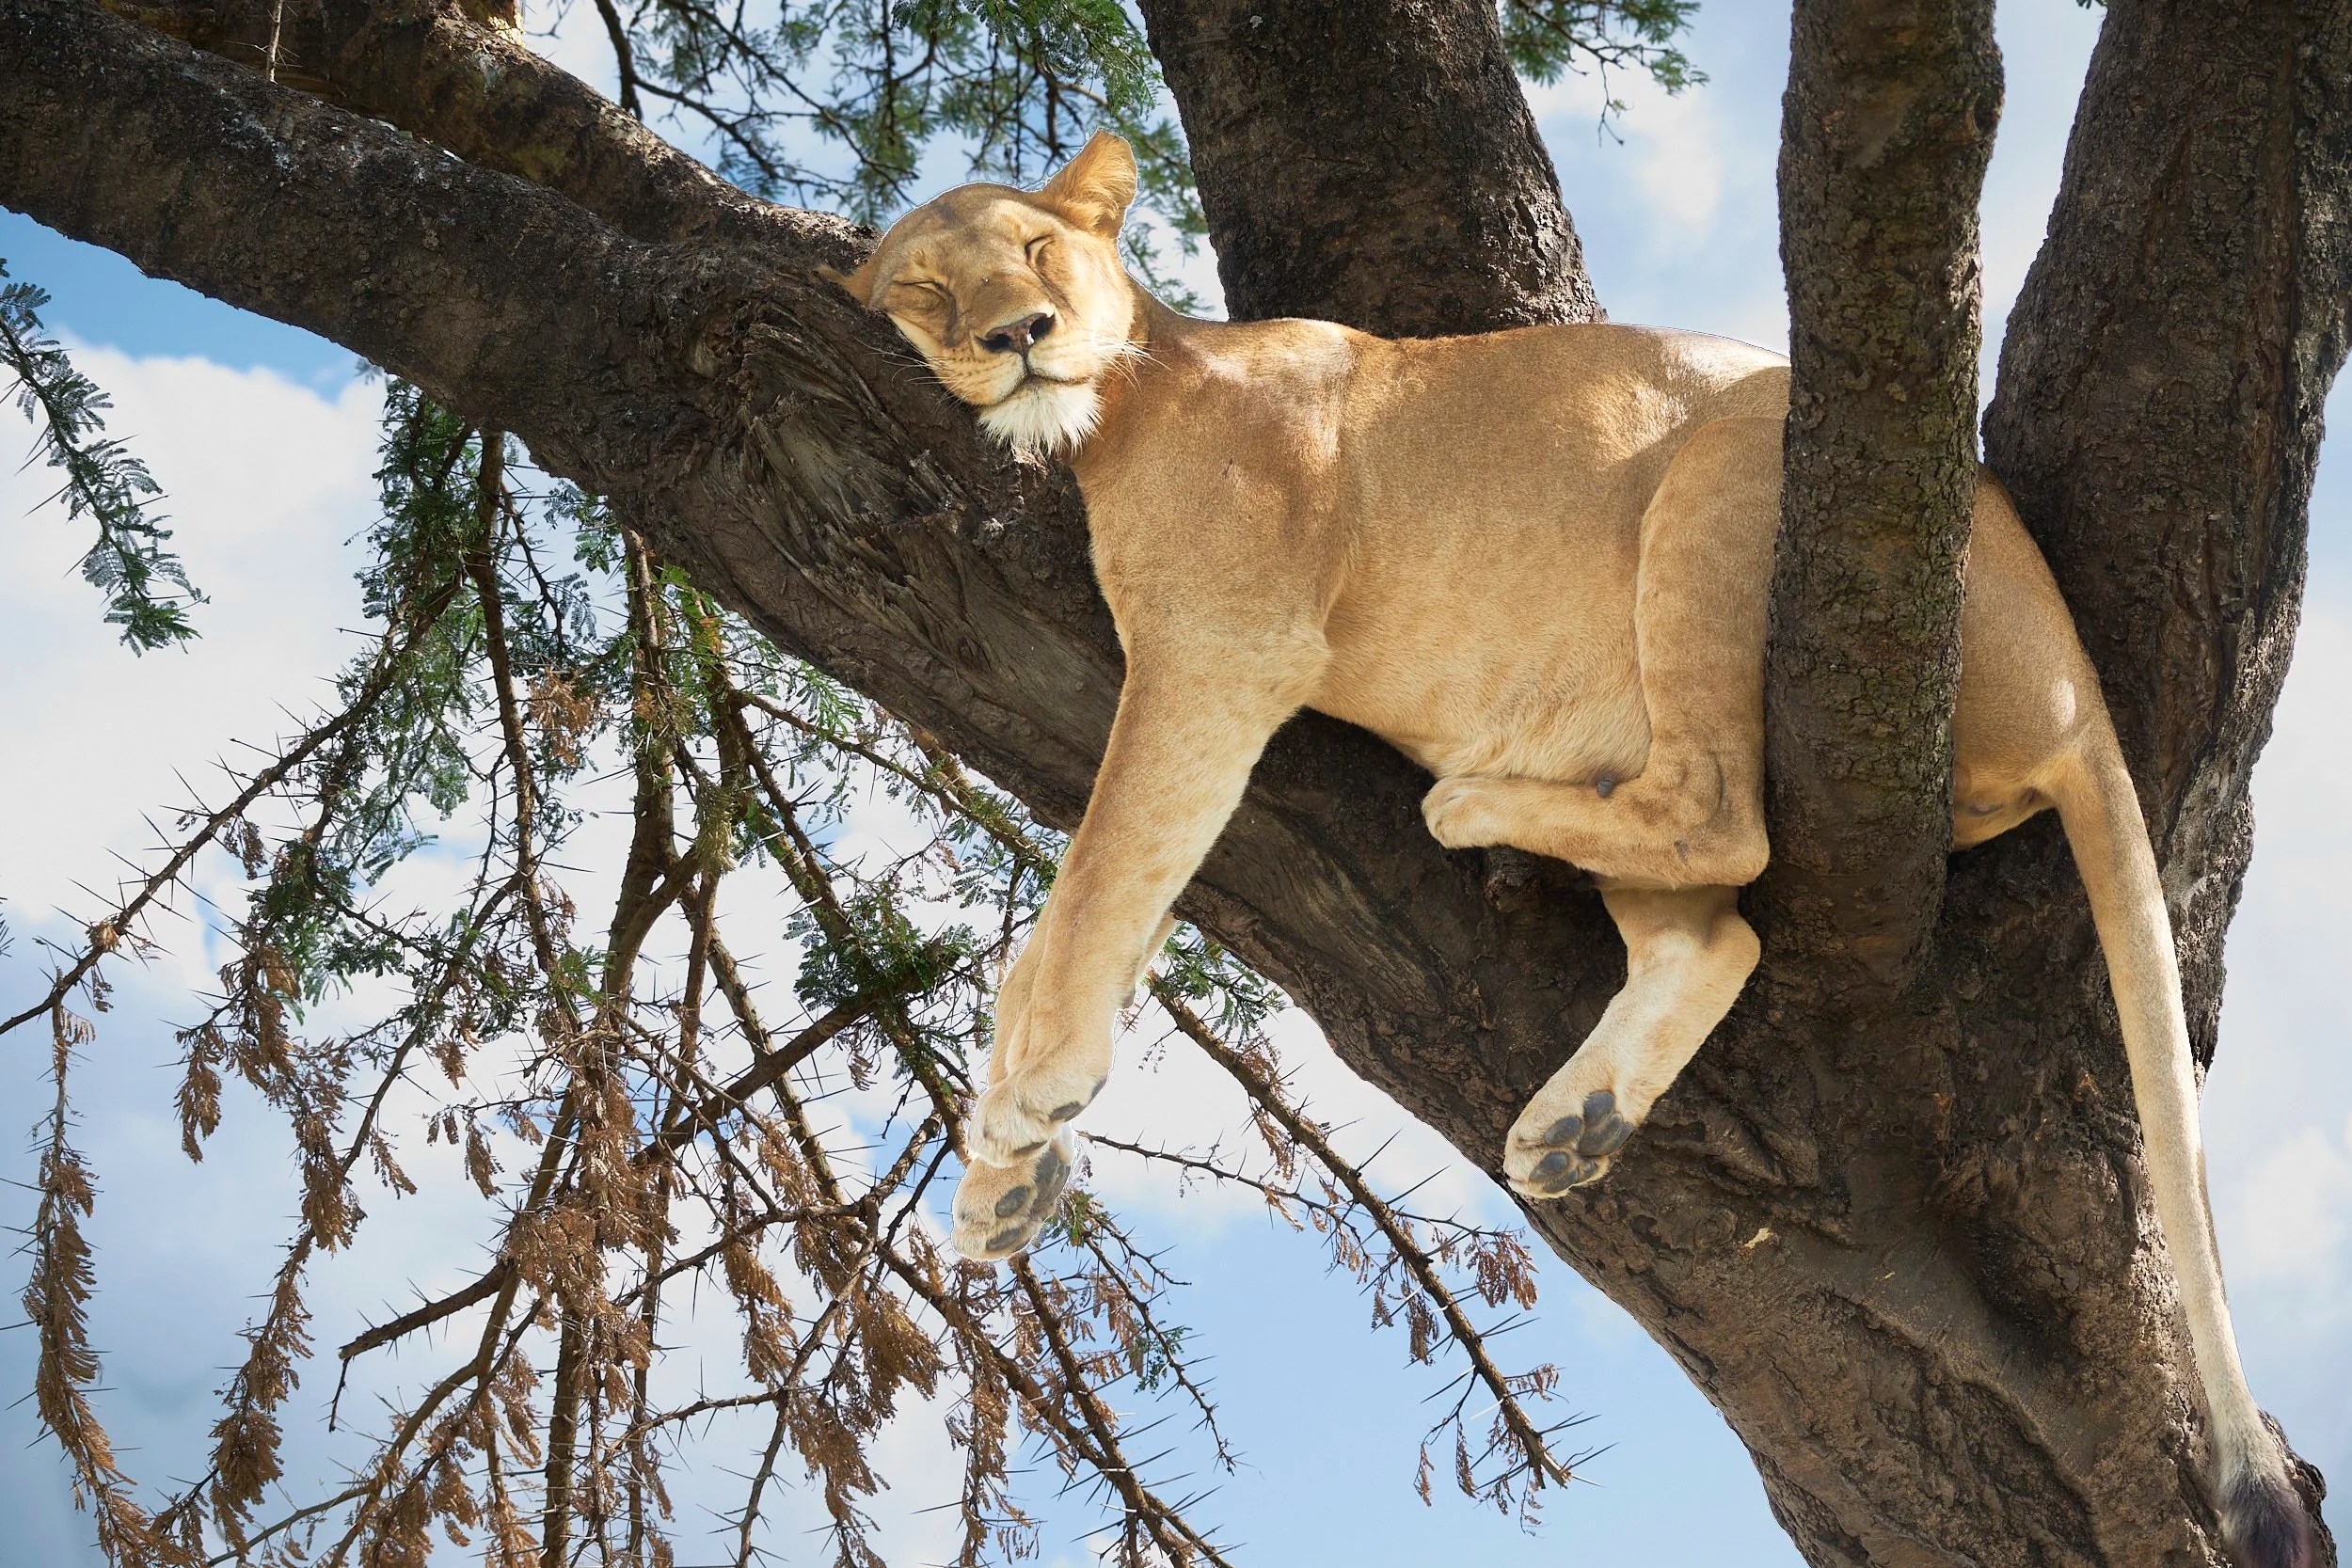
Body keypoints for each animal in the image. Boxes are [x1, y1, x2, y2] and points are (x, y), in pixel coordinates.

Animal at [832, 132, 2310, 1566]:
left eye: (1038, 251)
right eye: (924, 291)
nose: (1015, 333)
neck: (1130, 397)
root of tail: (2076, 674)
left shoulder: (1218, 654)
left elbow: (1094, 881)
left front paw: (1030, 1101)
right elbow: (1080, 918)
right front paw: (1004, 1181)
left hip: (1725, 472)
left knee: (1720, 812)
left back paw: (1475, 803)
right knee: (1719, 924)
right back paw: (1574, 1120)